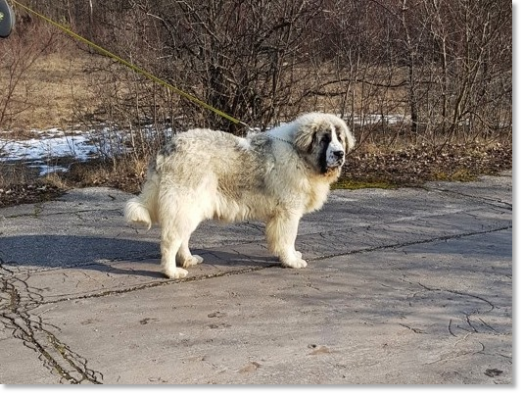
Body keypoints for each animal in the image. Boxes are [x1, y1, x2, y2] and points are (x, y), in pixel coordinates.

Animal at [126, 111, 356, 280]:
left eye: (340, 138)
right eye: (325, 139)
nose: (339, 154)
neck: (300, 155)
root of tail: (167, 149)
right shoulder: (288, 213)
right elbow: (288, 238)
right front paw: (291, 261)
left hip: (190, 208)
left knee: (182, 237)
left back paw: (188, 260)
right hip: (185, 205)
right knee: (170, 241)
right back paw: (172, 272)